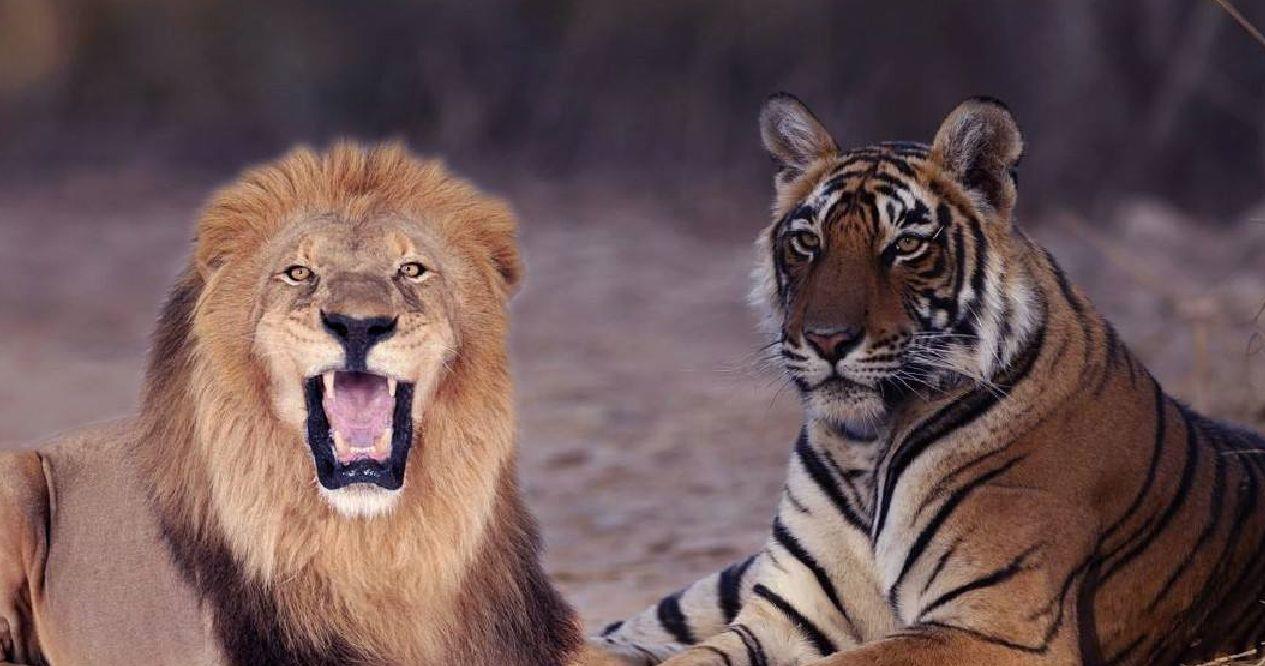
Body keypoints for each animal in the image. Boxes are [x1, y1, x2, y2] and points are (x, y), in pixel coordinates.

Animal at [589, 94, 1265, 666]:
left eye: (905, 245)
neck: (864, 445)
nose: (827, 339)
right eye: (807, 241)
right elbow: (693, 658)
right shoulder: (784, 615)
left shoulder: (997, 625)